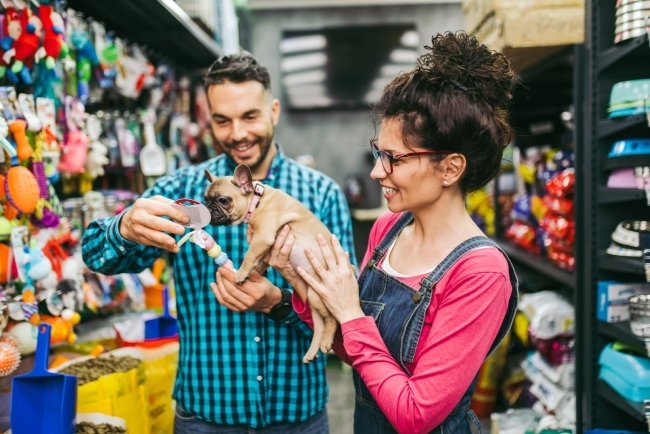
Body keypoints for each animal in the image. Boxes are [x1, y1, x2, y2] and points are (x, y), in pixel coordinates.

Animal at [206, 164, 340, 362]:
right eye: (205, 198)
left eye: (223, 200)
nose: (206, 208)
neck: (257, 199)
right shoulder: (266, 245)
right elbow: (261, 260)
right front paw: (255, 271)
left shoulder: (263, 238)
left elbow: (250, 255)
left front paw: (241, 273)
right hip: (313, 300)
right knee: (319, 325)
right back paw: (311, 352)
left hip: (319, 296)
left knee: (332, 320)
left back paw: (325, 343)